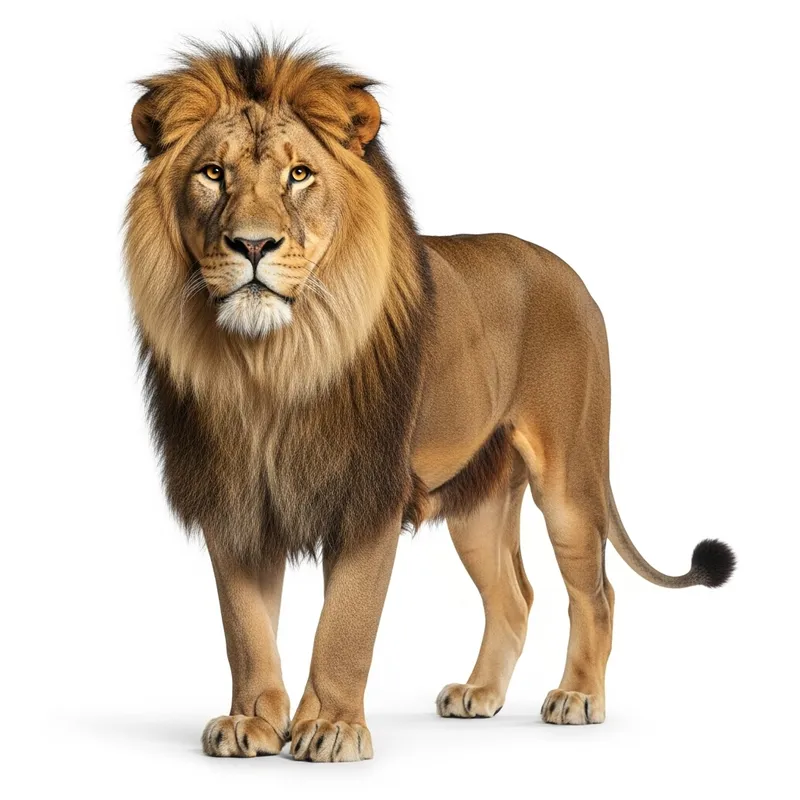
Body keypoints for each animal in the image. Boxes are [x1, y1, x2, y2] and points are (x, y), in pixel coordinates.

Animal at [124, 38, 735, 762]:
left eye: (299, 175)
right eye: (213, 174)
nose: (252, 244)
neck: (270, 364)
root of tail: (571, 276)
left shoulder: (370, 495)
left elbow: (346, 624)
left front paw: (331, 728)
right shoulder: (233, 496)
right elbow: (244, 626)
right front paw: (252, 721)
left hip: (570, 475)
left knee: (596, 592)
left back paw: (578, 697)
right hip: (479, 501)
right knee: (514, 596)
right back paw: (480, 694)